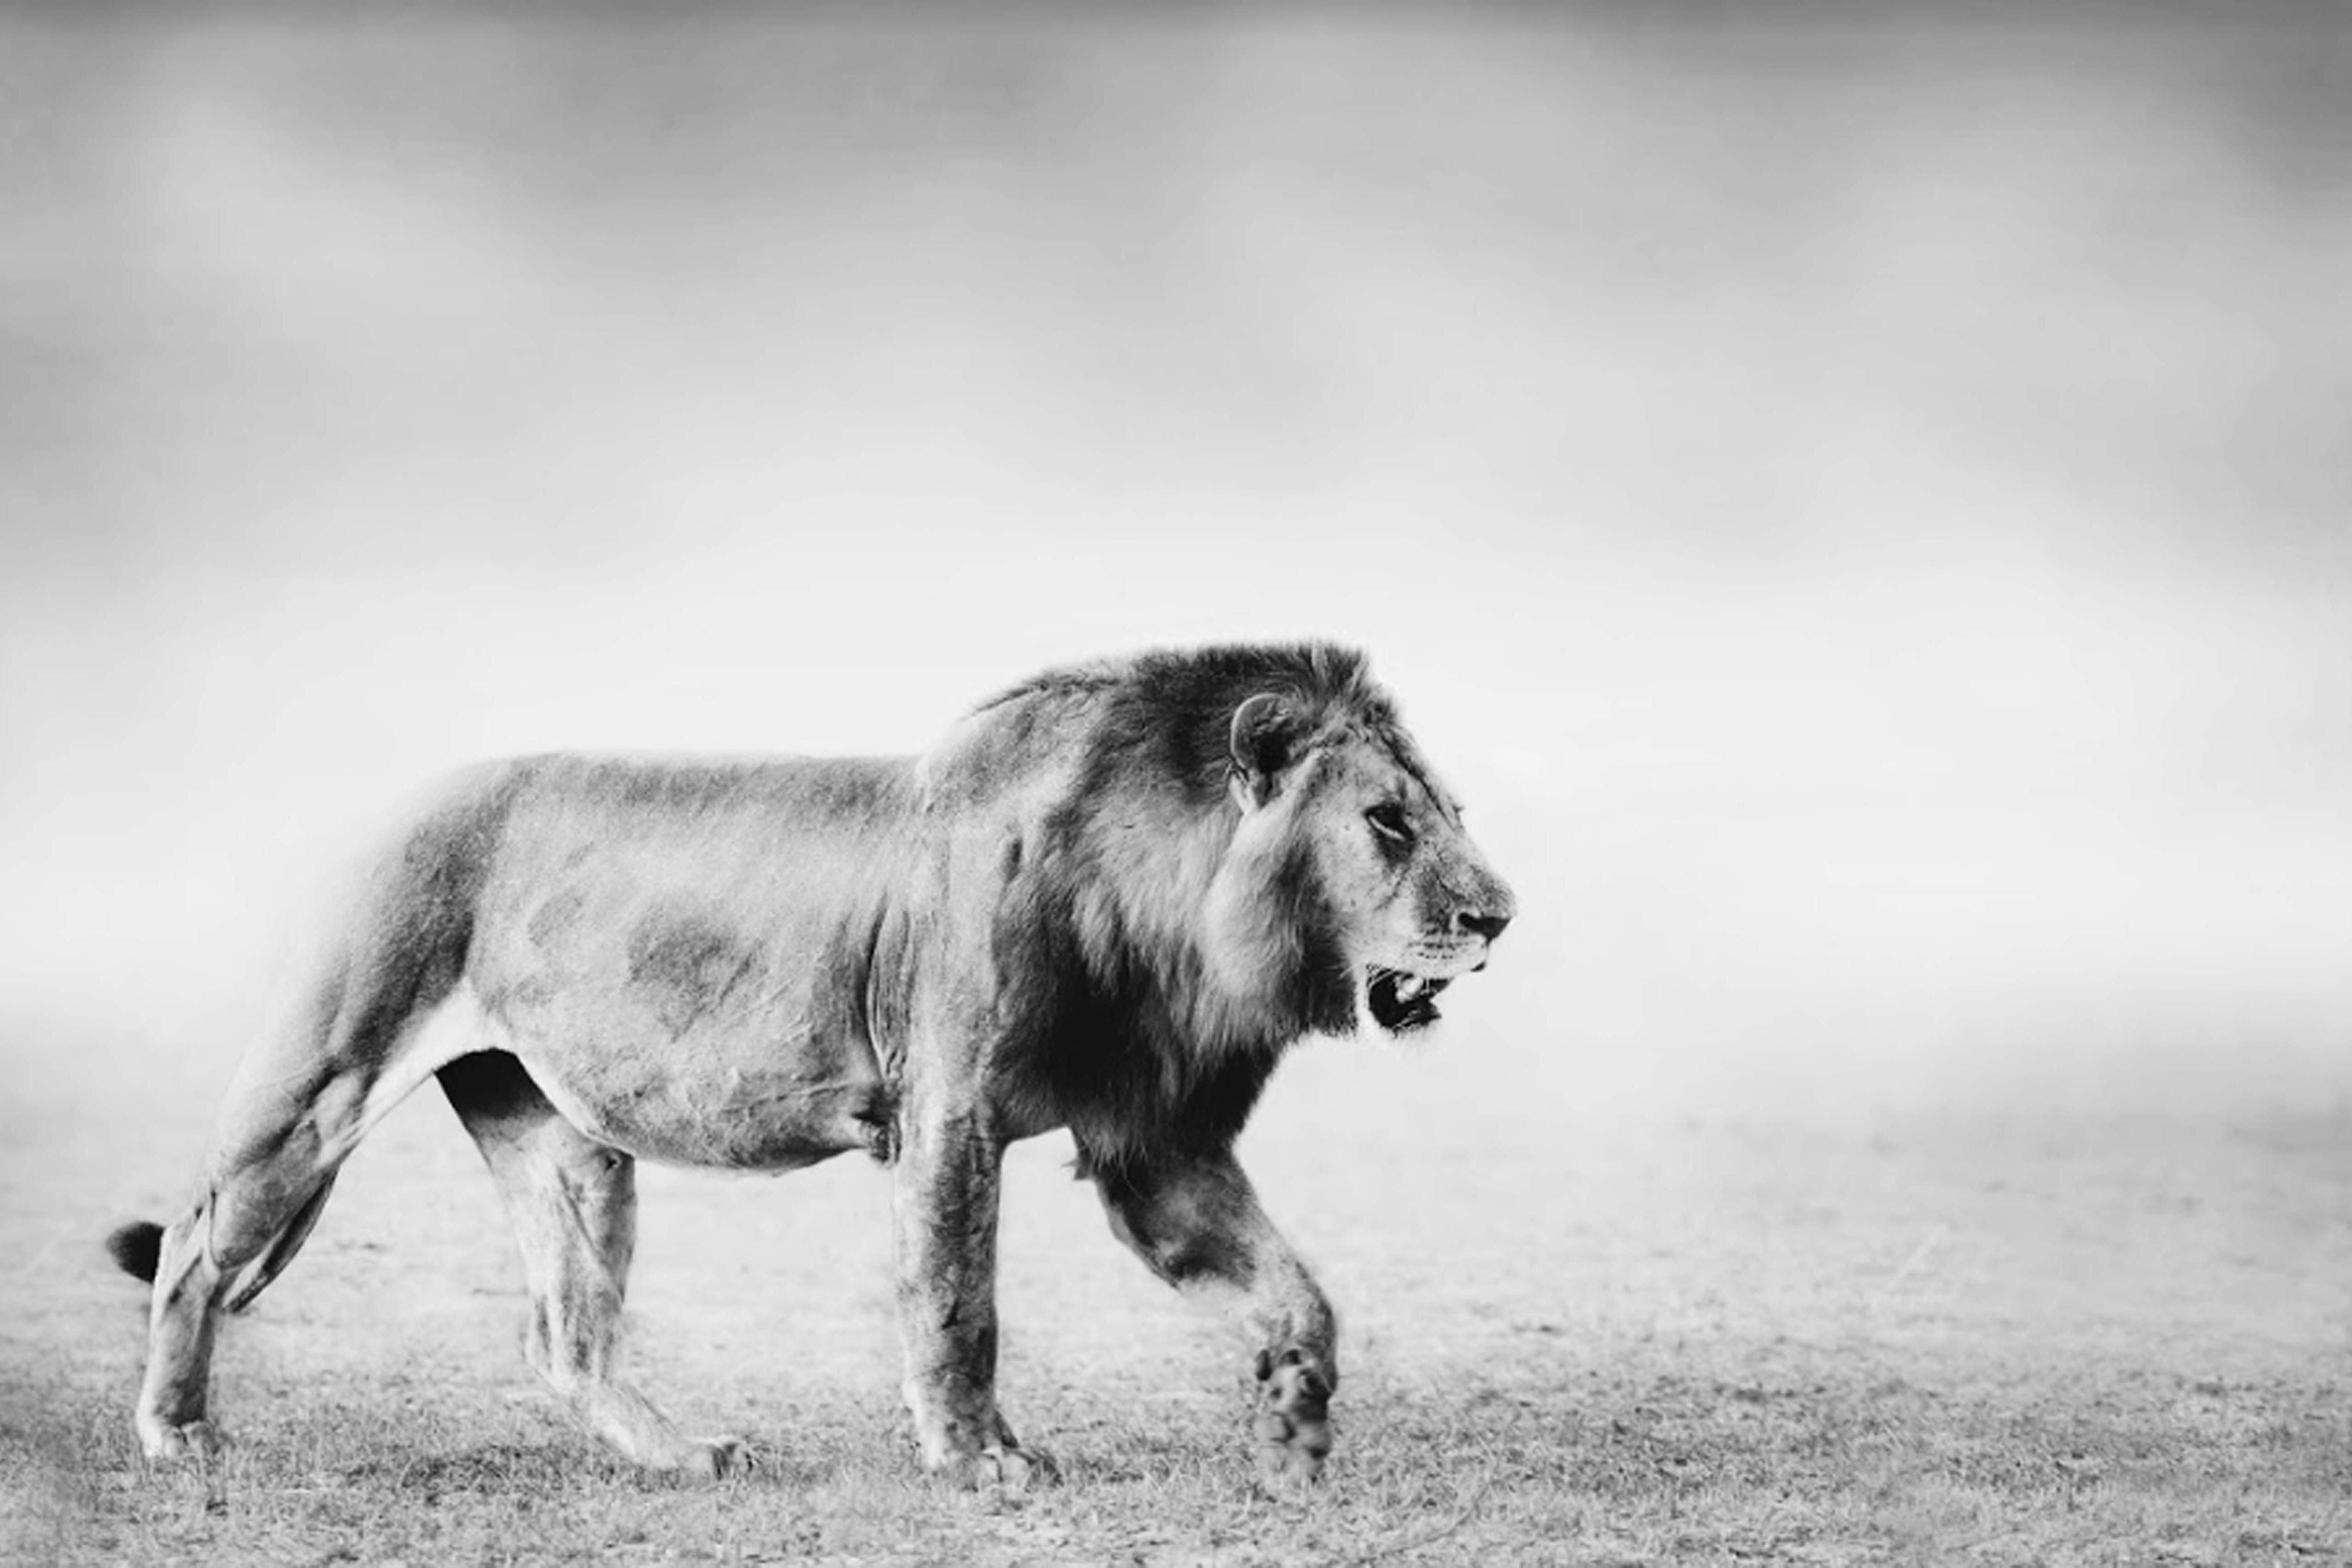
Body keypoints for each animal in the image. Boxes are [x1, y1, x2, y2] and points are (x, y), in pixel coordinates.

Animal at [106, 641, 1515, 1486]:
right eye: (1387, 823)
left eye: (1451, 814)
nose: (1499, 916)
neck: (1169, 916)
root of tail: (389, 800)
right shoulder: (951, 1110)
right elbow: (955, 1303)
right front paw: (976, 1465)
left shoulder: (1153, 1142)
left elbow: (1296, 1290)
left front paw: (1297, 1413)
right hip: (321, 1081)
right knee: (193, 1250)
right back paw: (177, 1435)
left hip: (566, 1142)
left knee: (563, 1334)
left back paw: (678, 1457)